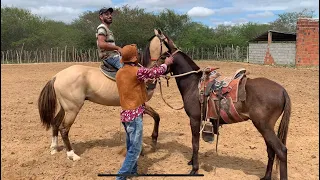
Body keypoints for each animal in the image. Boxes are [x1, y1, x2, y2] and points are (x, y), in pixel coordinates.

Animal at [37, 38, 168, 160]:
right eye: (166, 52)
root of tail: (57, 76)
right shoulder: (138, 104)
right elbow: (151, 119)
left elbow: (155, 116)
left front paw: (149, 142)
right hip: (72, 110)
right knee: (64, 129)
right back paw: (72, 155)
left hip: (65, 108)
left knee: (55, 123)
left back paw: (54, 149)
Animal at [146, 28, 292, 179]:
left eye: (163, 57)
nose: (150, 72)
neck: (193, 84)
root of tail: (282, 90)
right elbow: (195, 142)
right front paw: (192, 162)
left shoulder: (194, 119)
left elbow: (195, 143)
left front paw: (194, 169)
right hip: (266, 127)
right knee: (271, 150)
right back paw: (266, 176)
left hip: (264, 126)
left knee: (281, 151)